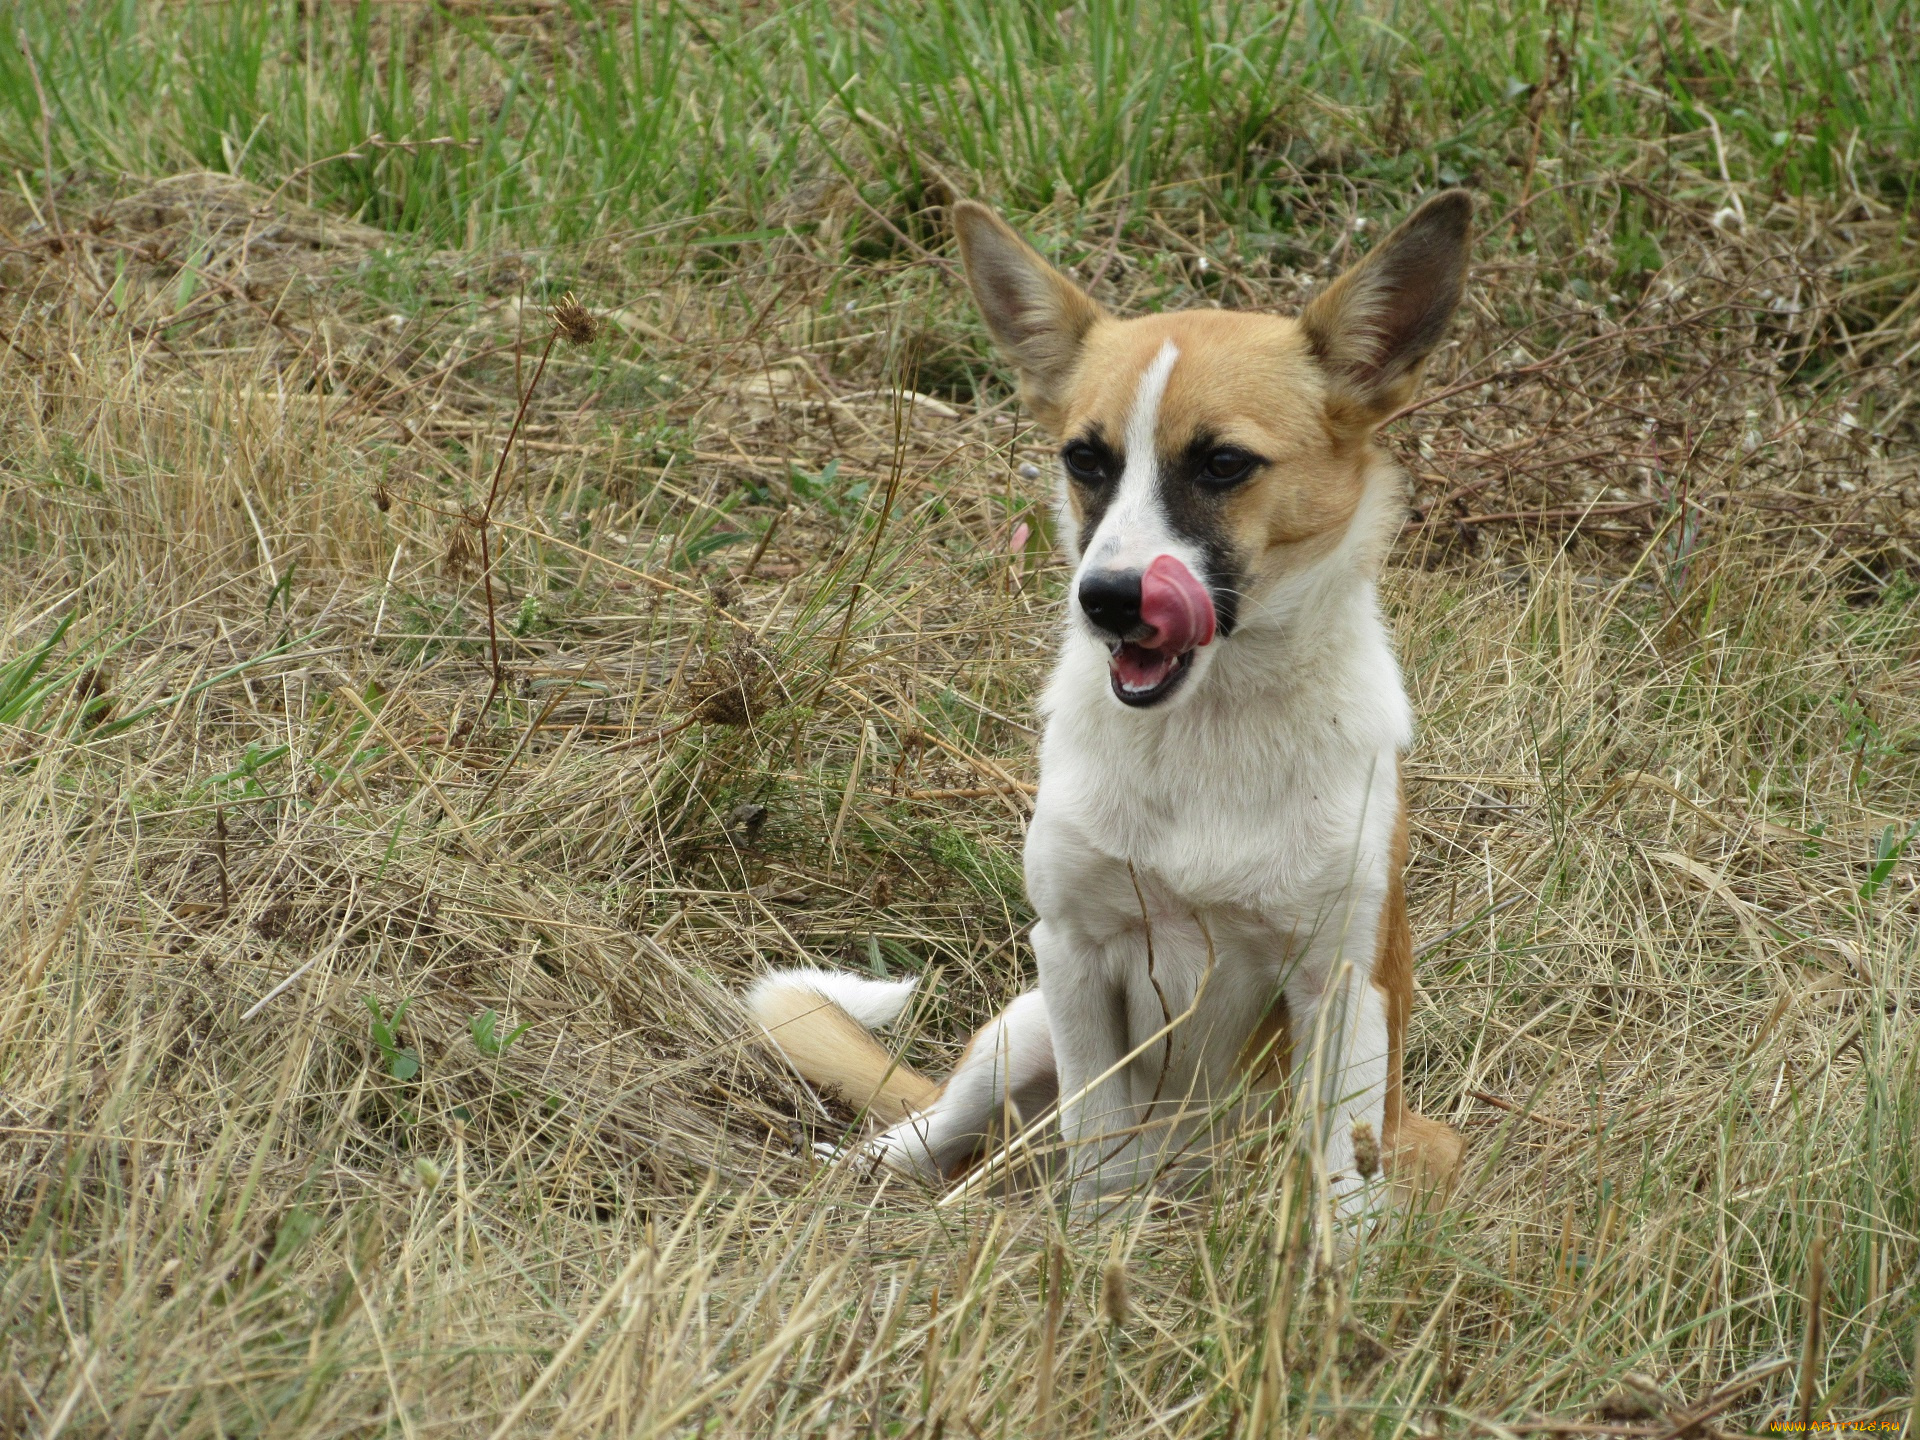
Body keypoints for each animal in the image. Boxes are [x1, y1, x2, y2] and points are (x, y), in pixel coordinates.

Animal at [748, 189, 1466, 1228]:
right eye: (1086, 459)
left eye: (1224, 464)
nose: (1110, 600)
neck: (1208, 728)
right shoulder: (1077, 957)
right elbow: (1097, 1151)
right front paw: (1091, 1241)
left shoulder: (1342, 982)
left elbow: (1336, 1180)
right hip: (1021, 1031)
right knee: (934, 1134)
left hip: (1422, 1143)